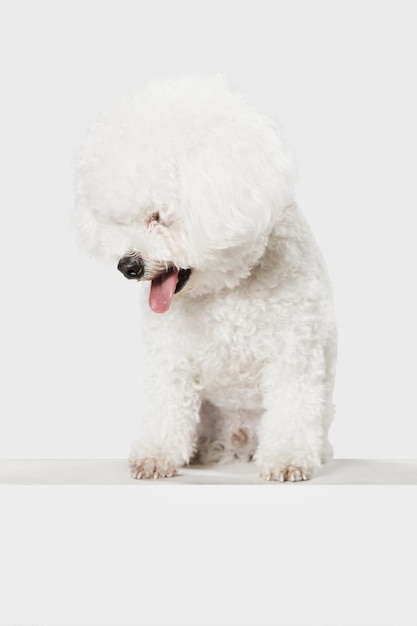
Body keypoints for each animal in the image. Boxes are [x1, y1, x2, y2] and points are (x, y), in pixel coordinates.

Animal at [73, 74, 336, 482]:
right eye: (119, 220)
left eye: (158, 216)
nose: (127, 266)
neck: (227, 289)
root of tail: (237, 441)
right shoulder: (170, 357)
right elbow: (166, 405)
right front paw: (157, 454)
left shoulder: (294, 353)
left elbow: (292, 405)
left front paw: (288, 459)